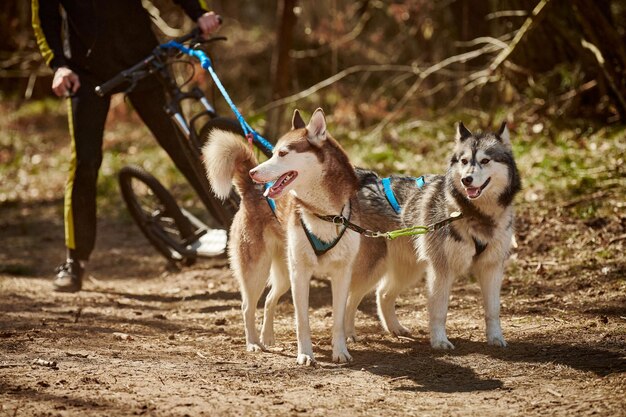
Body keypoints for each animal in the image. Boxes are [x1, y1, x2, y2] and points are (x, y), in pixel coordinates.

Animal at [382, 121, 520, 348]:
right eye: (464, 161)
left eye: (485, 160)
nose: (466, 179)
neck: (476, 213)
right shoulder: (441, 269)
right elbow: (439, 311)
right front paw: (439, 341)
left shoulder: (491, 266)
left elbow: (493, 310)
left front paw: (495, 337)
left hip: (408, 269)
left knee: (382, 293)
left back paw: (394, 328)